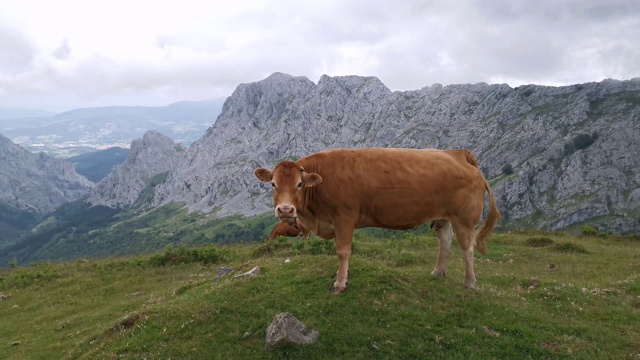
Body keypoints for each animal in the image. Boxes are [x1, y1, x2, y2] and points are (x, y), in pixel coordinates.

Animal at [254, 148, 500, 294]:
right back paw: (438, 272)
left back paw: (470, 283)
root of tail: (458, 154)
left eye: (299, 184)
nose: (286, 209)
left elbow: (343, 251)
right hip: (443, 216)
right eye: (273, 184)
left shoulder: (344, 218)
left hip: (464, 219)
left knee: (467, 248)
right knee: (445, 241)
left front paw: (340, 283)